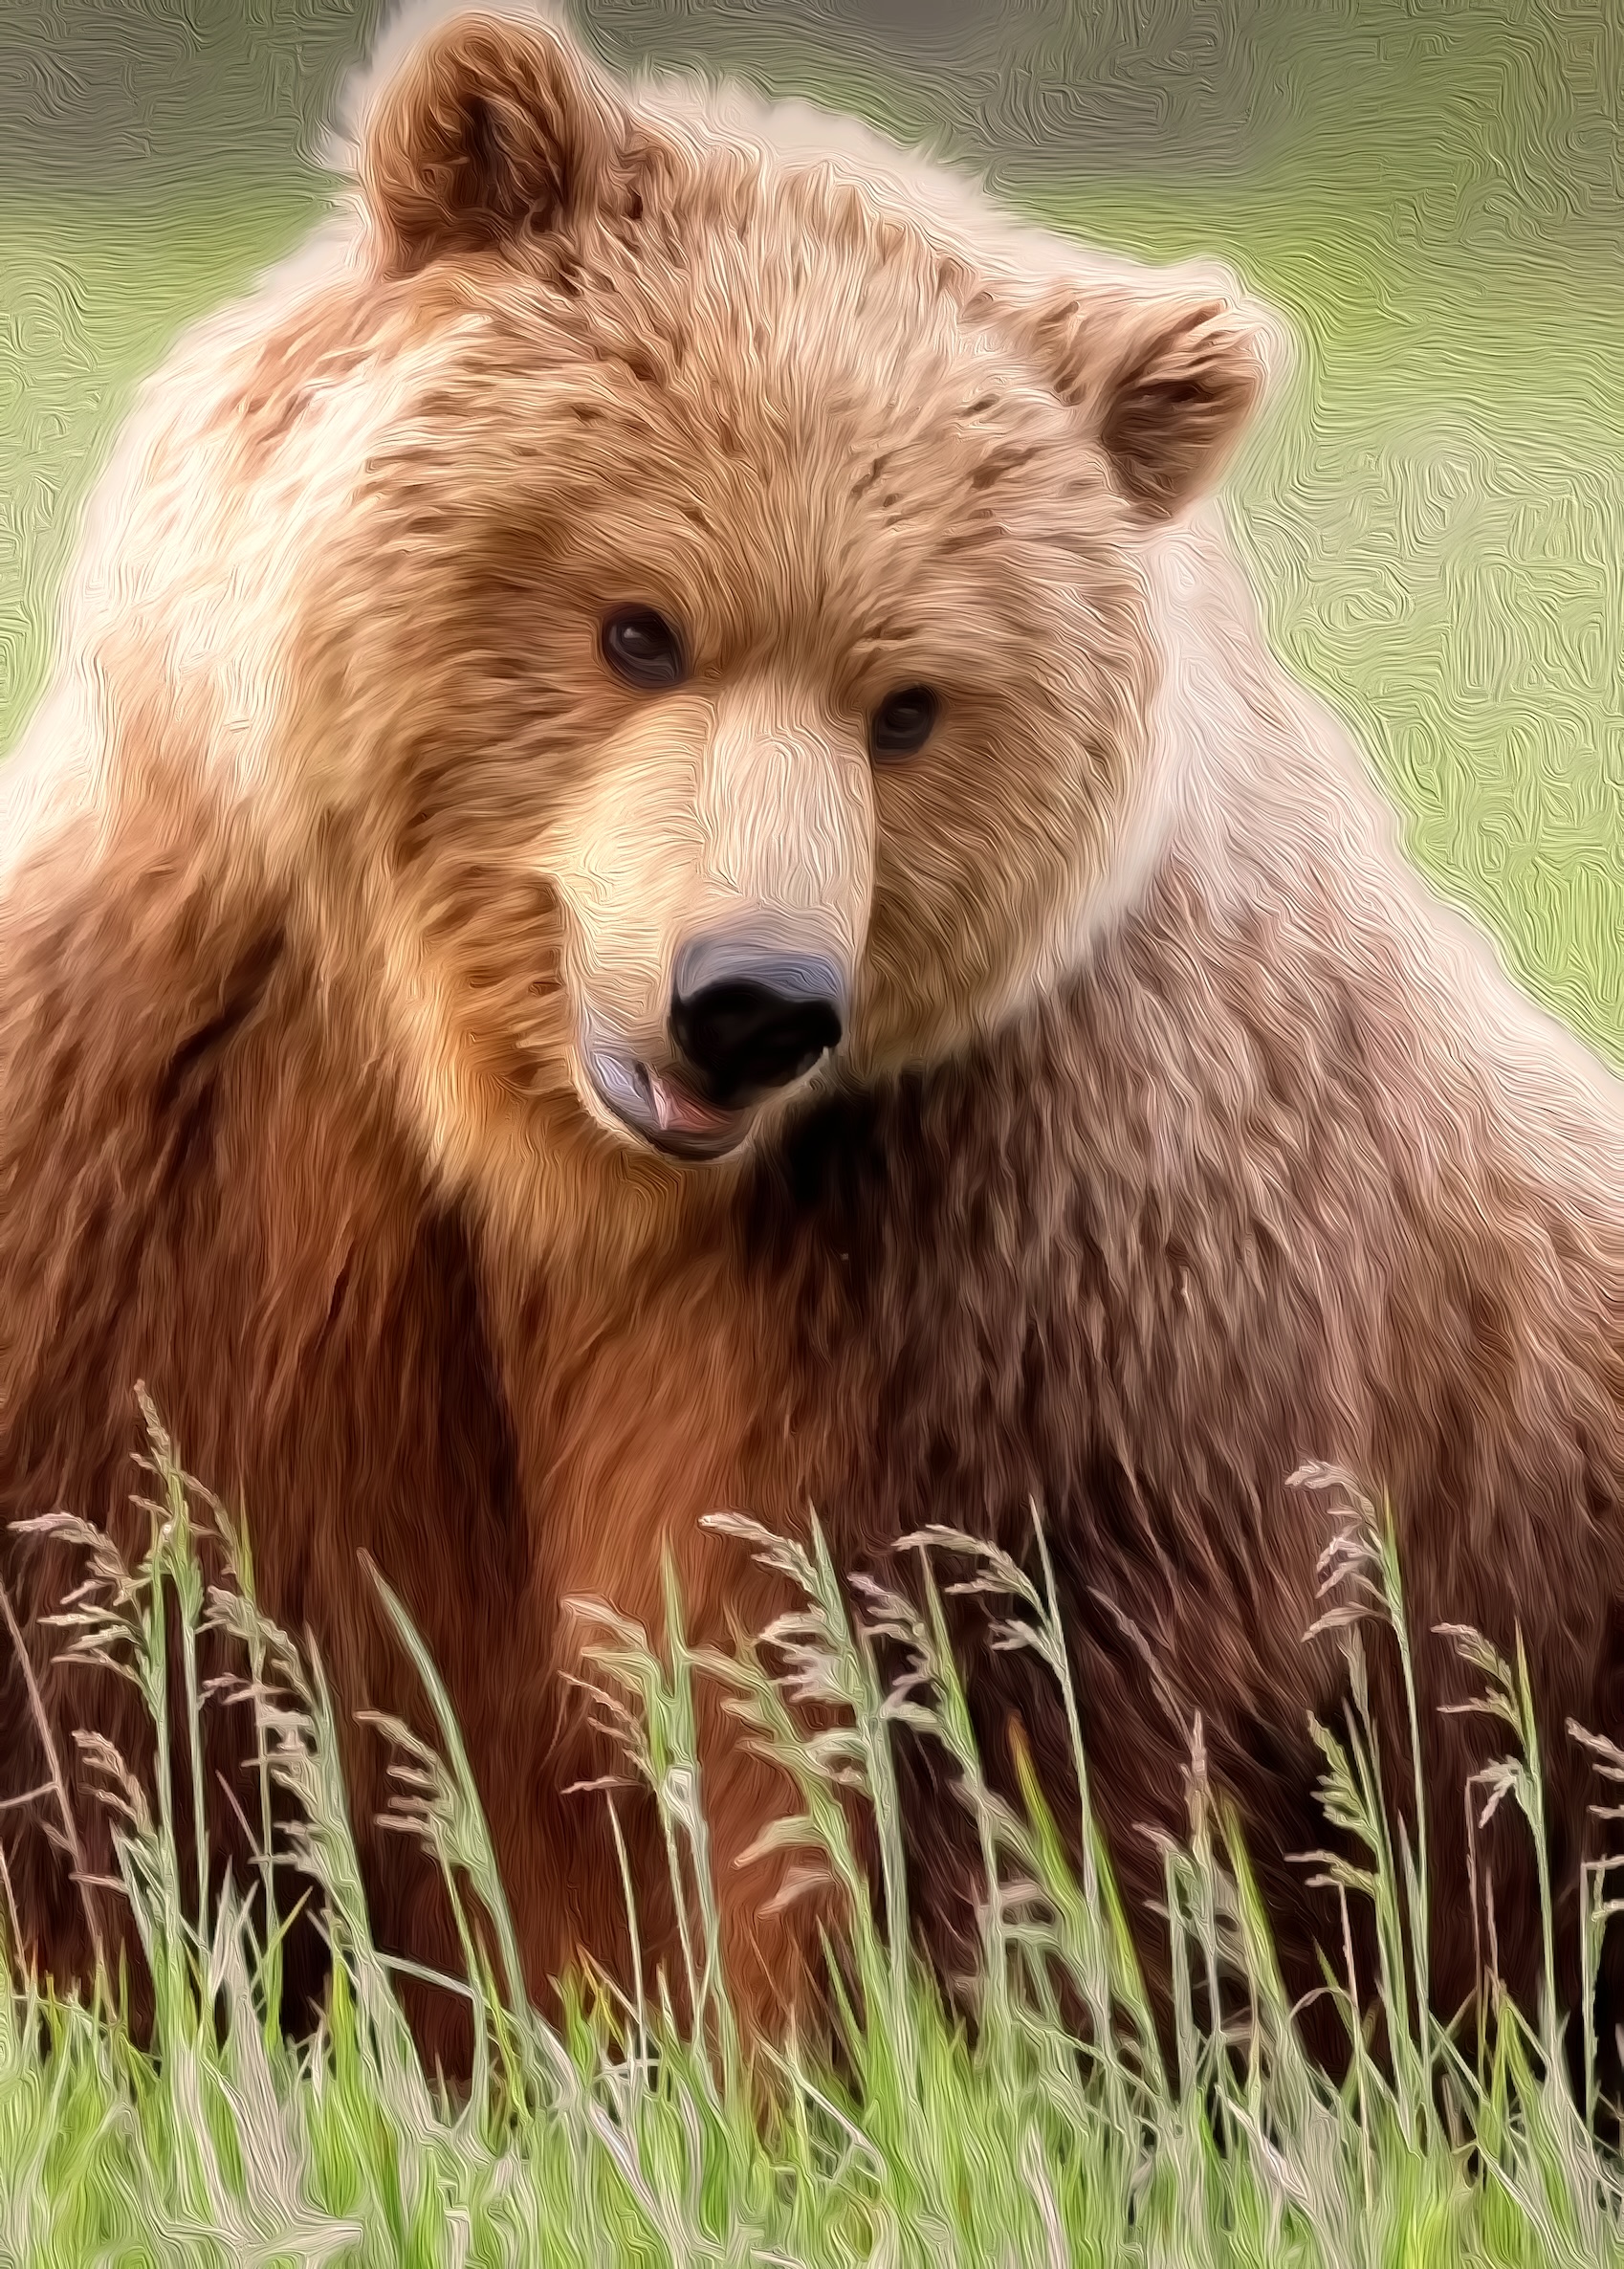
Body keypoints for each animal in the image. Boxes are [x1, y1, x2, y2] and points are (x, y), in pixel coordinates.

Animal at [4, 0, 1624, 2090]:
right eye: (637, 623)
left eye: (909, 704)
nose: (750, 998)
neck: (544, 1153)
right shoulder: (189, 1125)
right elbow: (112, 1659)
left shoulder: (995, 1255)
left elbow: (931, 1737)